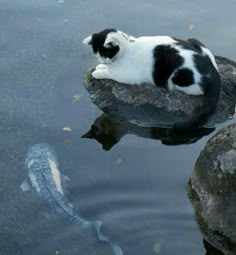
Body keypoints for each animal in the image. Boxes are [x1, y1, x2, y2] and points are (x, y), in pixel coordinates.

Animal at [82, 29, 220, 129]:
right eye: (97, 54)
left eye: (106, 53)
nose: (103, 61)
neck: (128, 47)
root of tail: (213, 73)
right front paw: (101, 67)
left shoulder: (128, 76)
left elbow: (110, 73)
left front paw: (98, 72)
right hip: (194, 40)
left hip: (178, 75)